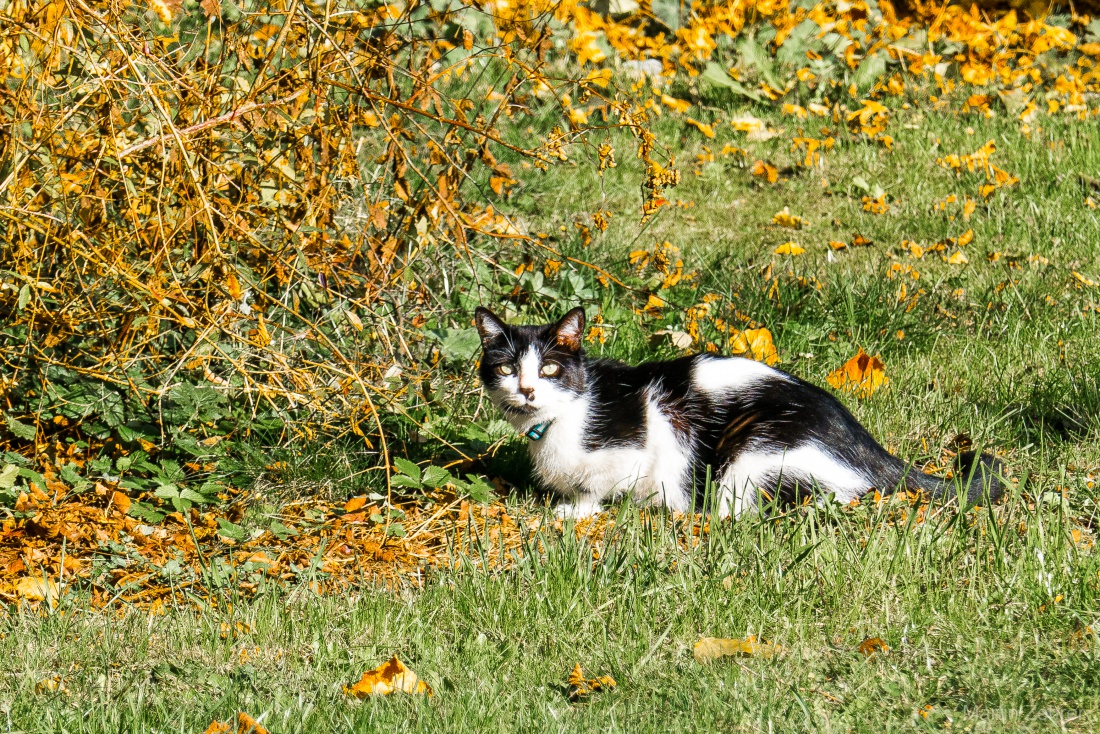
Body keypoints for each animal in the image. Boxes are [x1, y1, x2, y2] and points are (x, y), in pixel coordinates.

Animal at [473, 308, 1007, 519]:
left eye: (549, 368)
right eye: (506, 368)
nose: (527, 390)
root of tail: (868, 445)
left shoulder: (636, 444)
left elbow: (597, 486)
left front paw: (574, 511)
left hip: (753, 451)